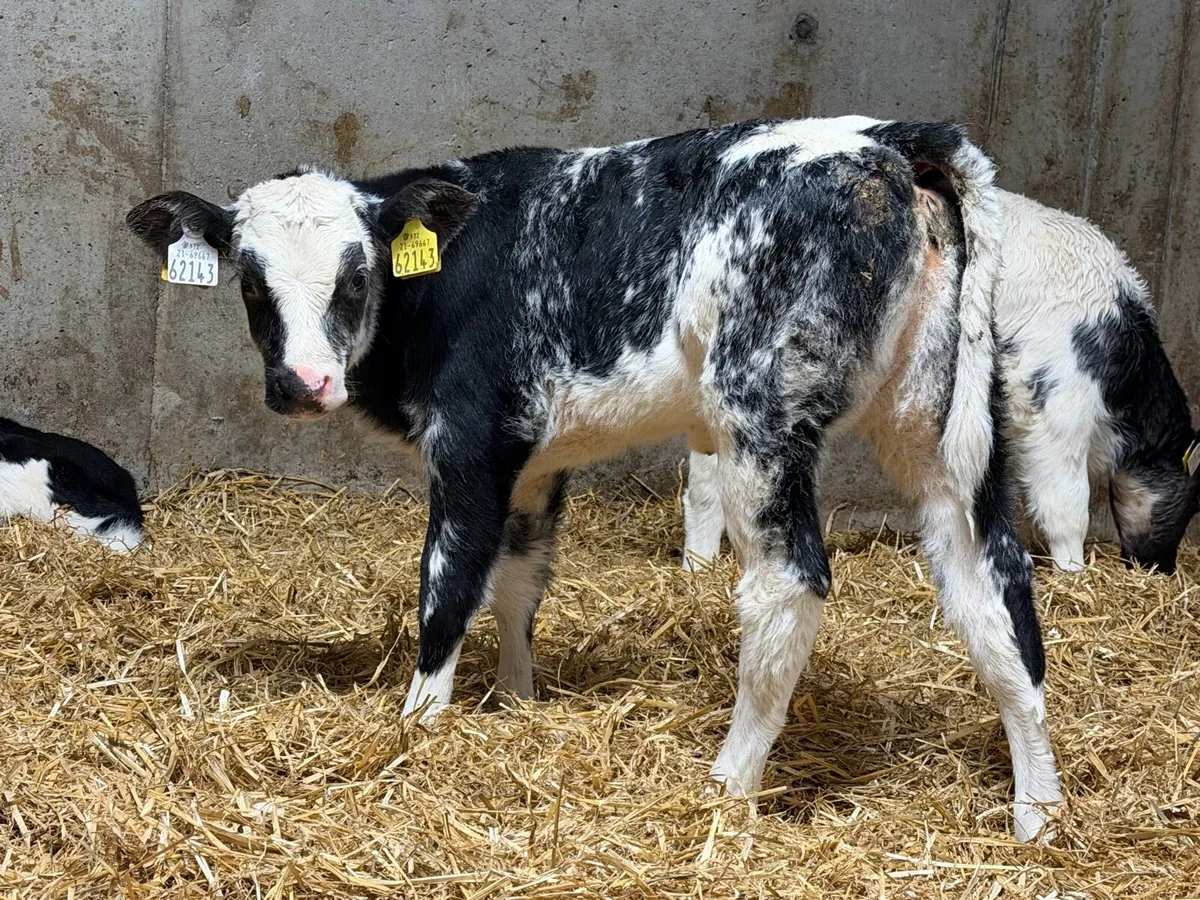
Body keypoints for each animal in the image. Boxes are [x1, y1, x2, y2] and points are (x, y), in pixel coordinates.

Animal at [126, 115, 1062, 841]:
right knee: (995, 586)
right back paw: (1037, 815)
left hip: (762, 417)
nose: (303, 384)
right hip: (938, 422)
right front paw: (516, 701)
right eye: (251, 284)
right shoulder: (533, 461)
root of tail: (892, 138)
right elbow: (518, 580)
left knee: (789, 584)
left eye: (359, 276)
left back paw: (728, 784)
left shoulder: (467, 446)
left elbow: (448, 586)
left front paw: (418, 726)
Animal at [683, 188, 1200, 574]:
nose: (1162, 567)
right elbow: (1066, 504)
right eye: (1194, 503)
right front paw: (1074, 576)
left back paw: (699, 567)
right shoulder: (1056, 401)